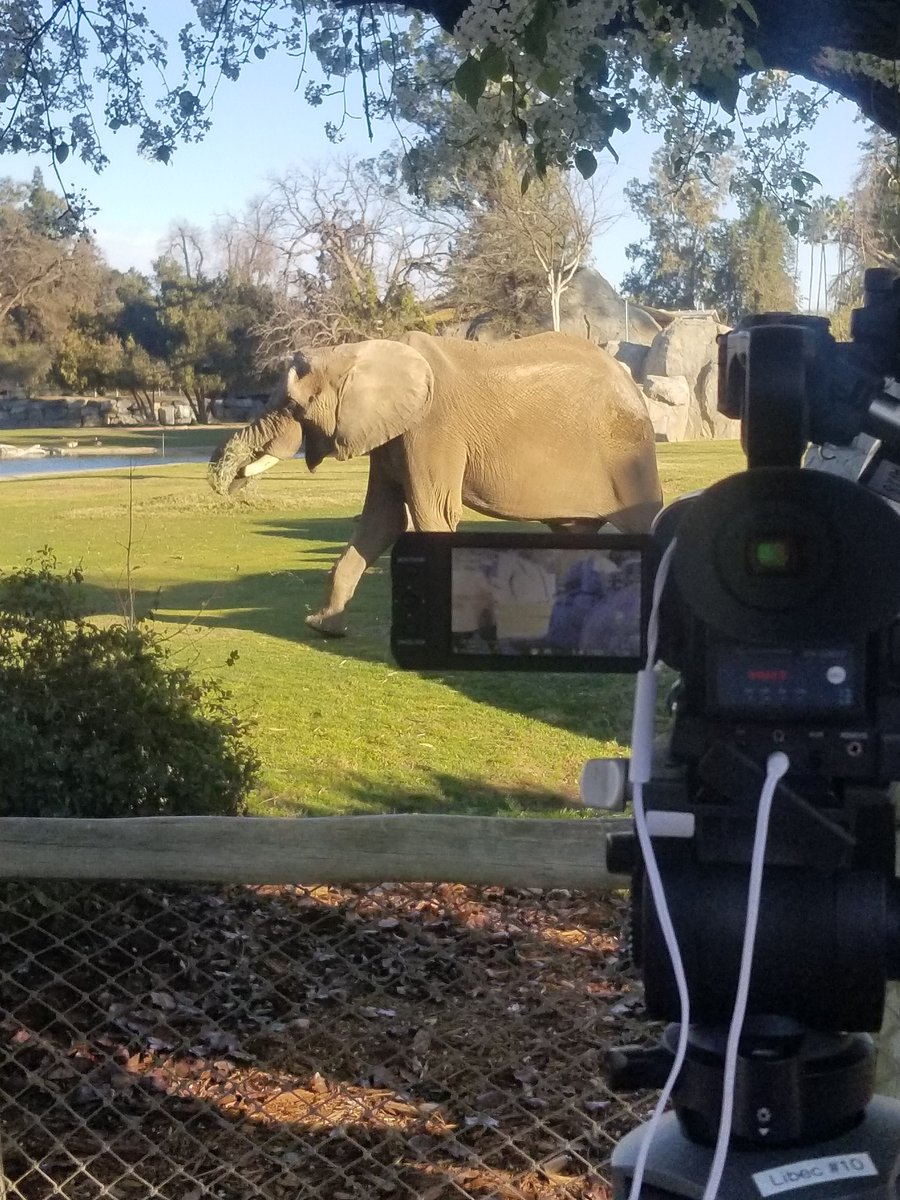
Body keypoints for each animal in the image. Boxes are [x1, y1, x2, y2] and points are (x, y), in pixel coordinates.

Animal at [208, 331, 663, 636]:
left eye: (294, 405)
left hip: (627, 454)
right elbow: (381, 521)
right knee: (571, 536)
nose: (228, 482)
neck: (359, 350)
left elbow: (432, 514)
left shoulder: (431, 429)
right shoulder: (391, 435)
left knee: (645, 525)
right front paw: (322, 628)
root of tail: (631, 383)